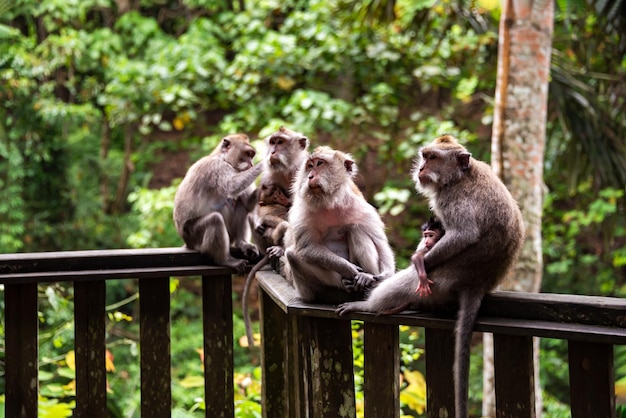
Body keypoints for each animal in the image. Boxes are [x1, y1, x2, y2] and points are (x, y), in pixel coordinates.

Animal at [172, 134, 264, 274]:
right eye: (248, 154)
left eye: (251, 155)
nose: (251, 164)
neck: (223, 159)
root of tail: (187, 242)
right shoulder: (216, 167)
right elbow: (232, 186)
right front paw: (266, 162)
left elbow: (247, 203)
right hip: (193, 236)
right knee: (215, 219)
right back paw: (225, 260)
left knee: (241, 206)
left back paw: (242, 243)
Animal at [280, 146, 392, 304]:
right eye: (310, 166)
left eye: (319, 163)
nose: (310, 176)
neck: (330, 202)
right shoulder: (303, 210)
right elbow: (307, 247)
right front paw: (348, 268)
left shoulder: (358, 204)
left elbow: (379, 242)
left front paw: (385, 275)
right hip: (309, 289)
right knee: (292, 255)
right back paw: (342, 284)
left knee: (357, 229)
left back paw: (367, 278)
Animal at [334, 136, 524, 418]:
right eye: (424, 156)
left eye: (432, 157)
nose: (421, 169)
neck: (460, 176)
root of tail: (477, 284)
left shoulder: (451, 199)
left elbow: (464, 234)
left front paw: (418, 260)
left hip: (441, 282)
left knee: (411, 280)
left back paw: (368, 304)